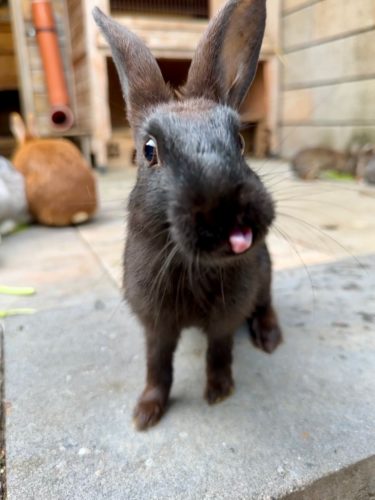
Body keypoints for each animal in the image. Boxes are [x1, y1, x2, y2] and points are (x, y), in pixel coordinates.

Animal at [93, 0, 282, 430]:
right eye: (149, 150)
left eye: (240, 140)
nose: (229, 213)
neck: (190, 263)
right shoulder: (155, 324)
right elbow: (157, 364)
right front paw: (145, 414)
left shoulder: (226, 317)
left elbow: (219, 351)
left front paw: (219, 392)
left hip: (264, 273)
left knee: (266, 304)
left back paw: (269, 338)